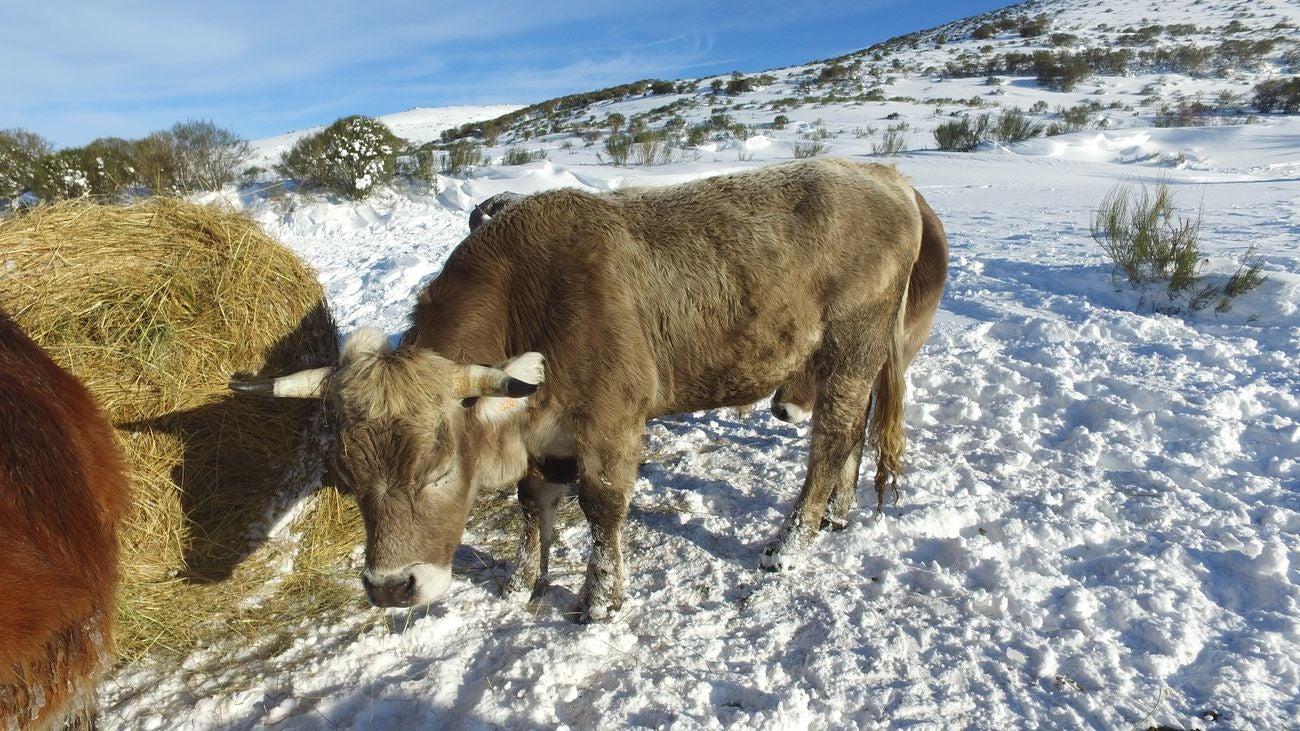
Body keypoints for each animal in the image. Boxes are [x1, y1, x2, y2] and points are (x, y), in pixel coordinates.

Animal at [233, 159, 941, 619]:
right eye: (348, 477)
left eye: (438, 472)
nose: (389, 588)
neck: (530, 296)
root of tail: (885, 175)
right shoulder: (542, 428)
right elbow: (532, 503)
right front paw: (523, 581)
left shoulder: (611, 424)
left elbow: (602, 508)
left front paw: (599, 598)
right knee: (853, 431)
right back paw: (838, 514)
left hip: (851, 347)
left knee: (832, 437)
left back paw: (789, 544)